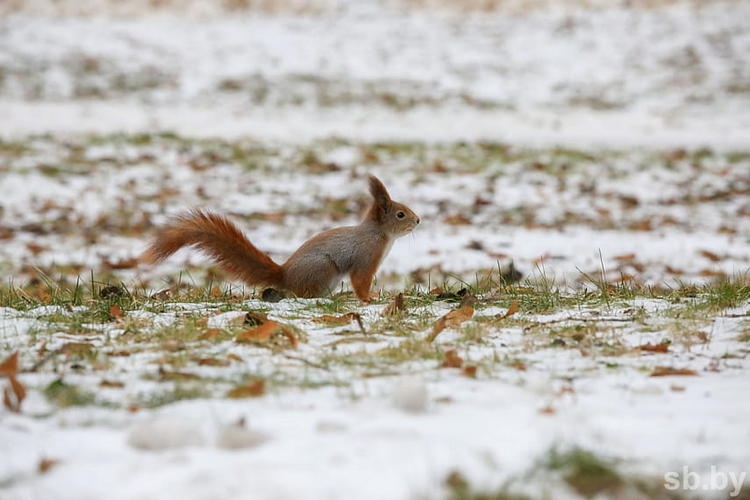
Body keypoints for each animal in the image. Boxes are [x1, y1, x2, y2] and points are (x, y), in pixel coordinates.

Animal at [140, 176, 420, 300]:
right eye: (400, 214)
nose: (418, 220)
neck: (380, 234)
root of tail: (284, 274)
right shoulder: (366, 256)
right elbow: (361, 280)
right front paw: (369, 299)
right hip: (323, 269)